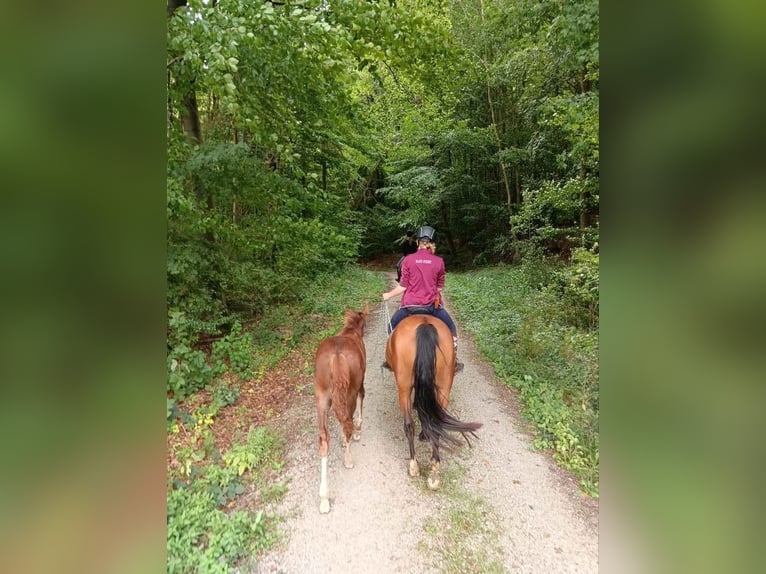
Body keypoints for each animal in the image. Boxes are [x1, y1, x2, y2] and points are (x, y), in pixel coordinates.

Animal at [314, 308, 370, 516]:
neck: (351, 332)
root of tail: (337, 356)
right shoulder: (360, 384)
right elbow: (362, 398)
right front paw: (358, 432)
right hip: (350, 391)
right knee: (348, 421)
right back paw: (348, 458)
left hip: (321, 397)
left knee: (324, 437)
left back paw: (324, 498)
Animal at [388, 316, 484, 490]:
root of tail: (425, 324)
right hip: (444, 385)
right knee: (436, 423)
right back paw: (434, 469)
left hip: (404, 387)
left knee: (409, 425)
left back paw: (414, 465)